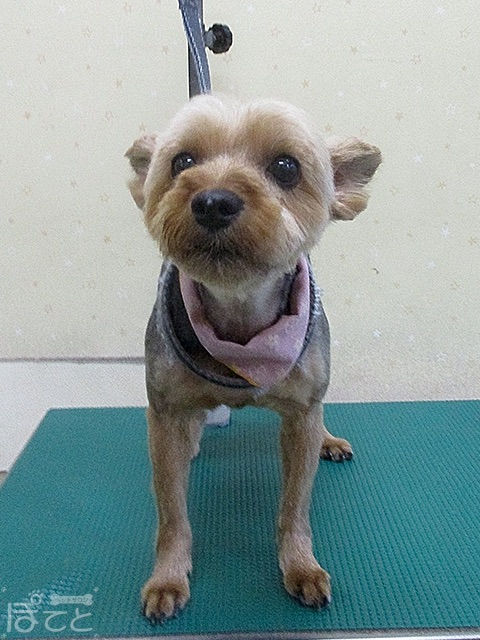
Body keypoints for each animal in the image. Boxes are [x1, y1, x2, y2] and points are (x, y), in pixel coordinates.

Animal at [126, 94, 381, 622]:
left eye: (286, 167)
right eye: (183, 161)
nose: (213, 201)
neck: (240, 315)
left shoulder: (302, 414)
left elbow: (295, 508)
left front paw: (301, 566)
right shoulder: (164, 414)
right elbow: (171, 513)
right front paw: (167, 578)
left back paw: (330, 440)